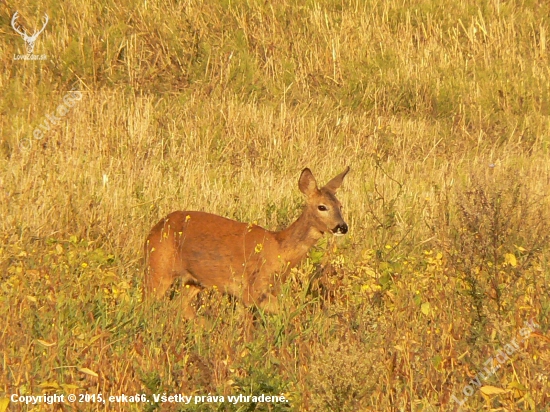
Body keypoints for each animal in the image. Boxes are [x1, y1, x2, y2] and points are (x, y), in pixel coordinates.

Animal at [142, 166, 350, 318]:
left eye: (340, 206)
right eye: (322, 206)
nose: (342, 227)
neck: (280, 249)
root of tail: (154, 229)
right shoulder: (251, 289)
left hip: (193, 280)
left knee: (181, 306)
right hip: (159, 266)